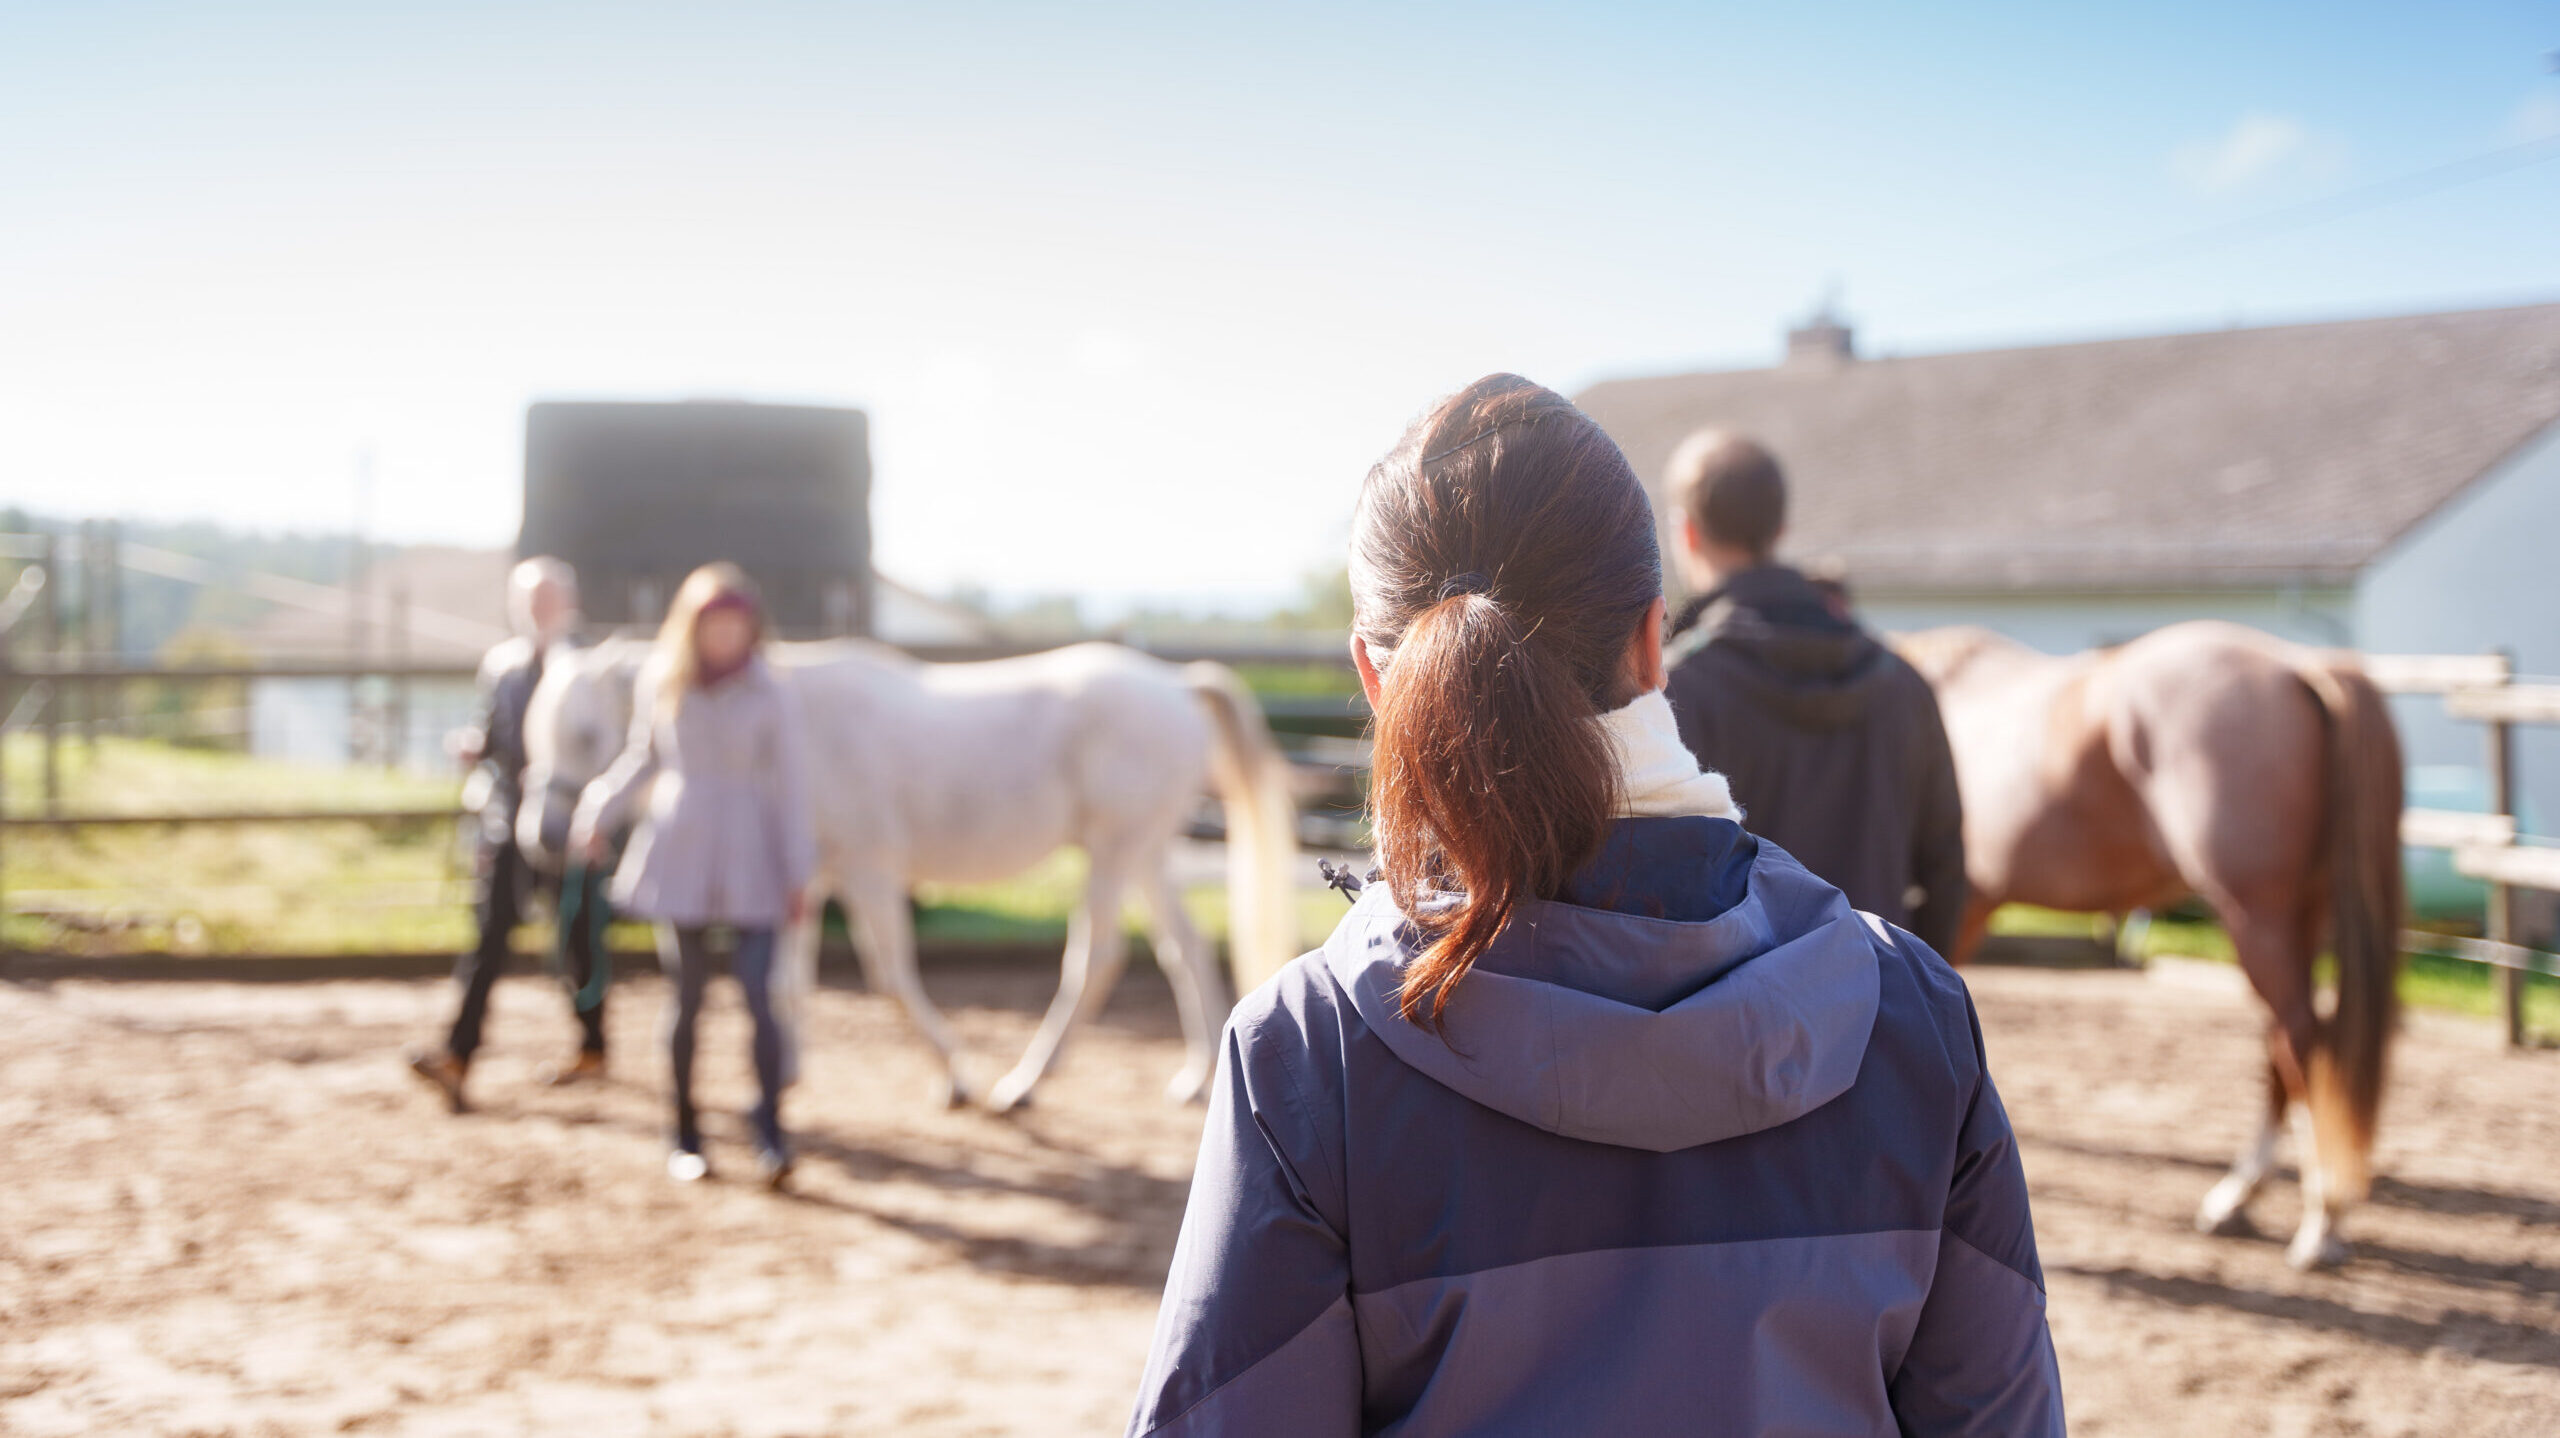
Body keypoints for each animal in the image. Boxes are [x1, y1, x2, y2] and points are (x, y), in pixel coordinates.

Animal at [516, 636, 1302, 1113]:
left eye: (587, 733)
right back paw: (1194, 1077)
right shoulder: (812, 880)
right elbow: (787, 983)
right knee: (1184, 949)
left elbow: (891, 977)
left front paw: (955, 1076)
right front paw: (786, 1074)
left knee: (1096, 958)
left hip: (1114, 852)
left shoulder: (869, 873)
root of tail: (1177, 683)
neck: (791, 727)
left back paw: (1021, 1084)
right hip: (1145, 853)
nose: (545, 834)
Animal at [1897, 620, 2403, 1269]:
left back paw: (2321, 1220)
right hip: (2302, 915)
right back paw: (2240, 1195)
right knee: (2283, 1042)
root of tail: (2301, 664)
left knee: (2299, 1042)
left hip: (2256, 915)